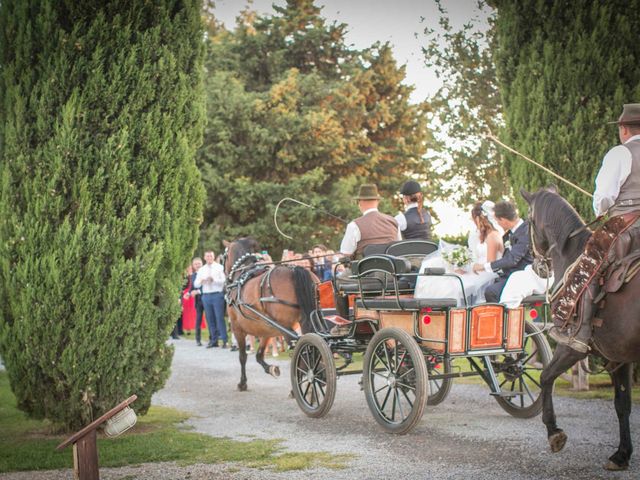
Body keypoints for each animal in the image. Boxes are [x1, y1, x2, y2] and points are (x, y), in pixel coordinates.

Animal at [222, 238, 320, 392]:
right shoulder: (268, 329)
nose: (226, 279)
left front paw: (242, 383)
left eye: (224, 257)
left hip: (286, 326)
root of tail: (294, 269)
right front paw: (272, 369)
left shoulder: (237, 328)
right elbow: (259, 355)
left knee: (299, 348)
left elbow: (242, 356)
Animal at [524, 187, 640, 468]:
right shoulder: (618, 357)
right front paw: (622, 454)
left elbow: (545, 377)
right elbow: (622, 403)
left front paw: (554, 432)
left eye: (528, 220)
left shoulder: (571, 347)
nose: (536, 264)